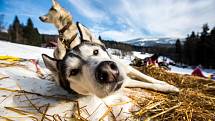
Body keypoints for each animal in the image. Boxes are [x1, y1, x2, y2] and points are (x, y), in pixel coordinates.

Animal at [42, 22, 180, 120]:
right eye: (73, 72)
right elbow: (145, 83)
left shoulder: (128, 70)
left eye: (95, 52)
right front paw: (167, 87)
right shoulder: (127, 81)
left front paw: (165, 84)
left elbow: (147, 78)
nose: (108, 71)